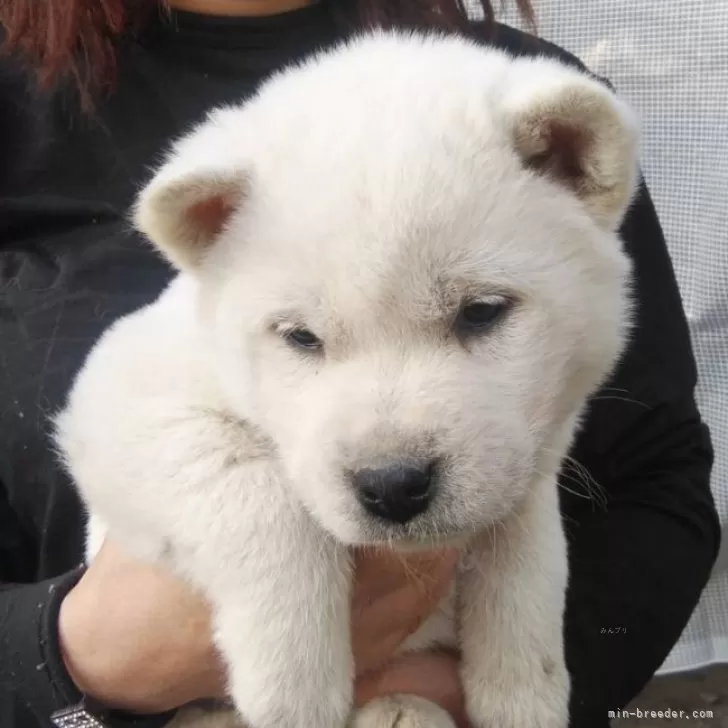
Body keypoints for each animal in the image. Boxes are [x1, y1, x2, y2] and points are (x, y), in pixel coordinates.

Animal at [55, 28, 636, 728]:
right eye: (302, 337)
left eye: (482, 312)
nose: (393, 486)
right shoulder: (123, 396)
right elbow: (256, 491)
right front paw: (293, 684)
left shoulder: (530, 451)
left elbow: (526, 556)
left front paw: (524, 689)